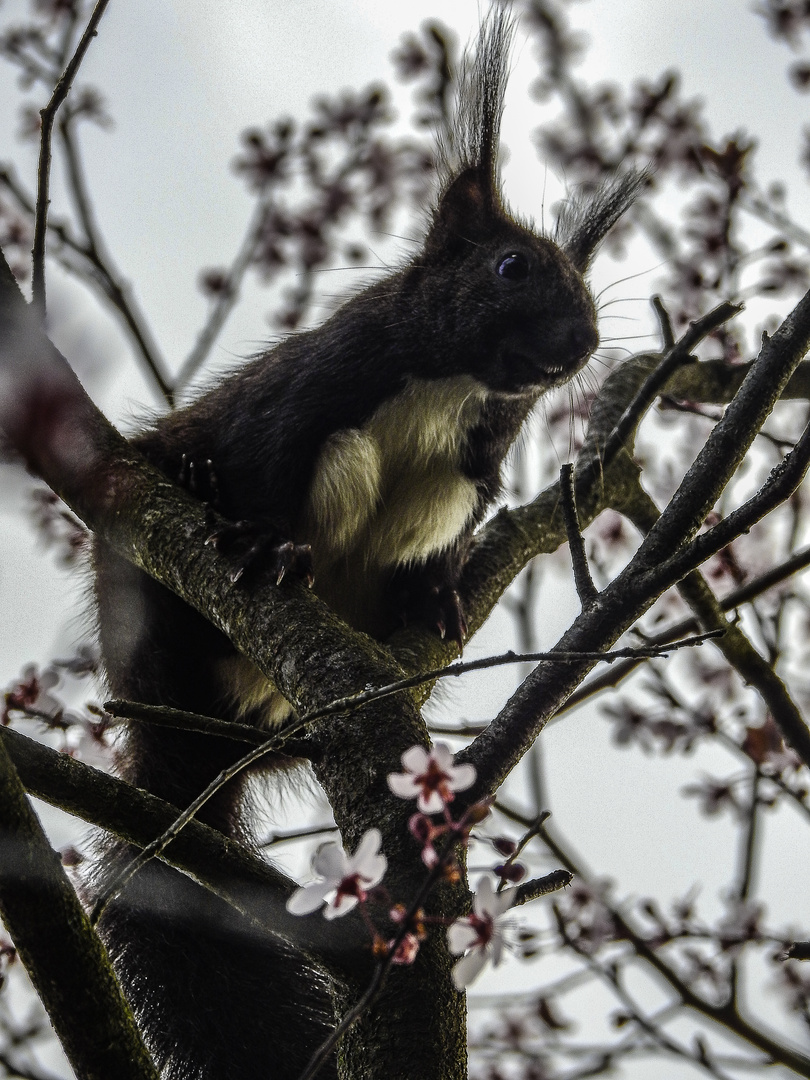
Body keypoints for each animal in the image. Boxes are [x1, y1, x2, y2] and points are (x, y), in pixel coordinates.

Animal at [88, 10, 648, 1080]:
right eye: (511, 267)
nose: (580, 346)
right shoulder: (313, 386)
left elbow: (454, 532)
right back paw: (236, 530)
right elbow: (271, 458)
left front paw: (437, 598)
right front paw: (264, 541)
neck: (447, 383)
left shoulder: (481, 461)